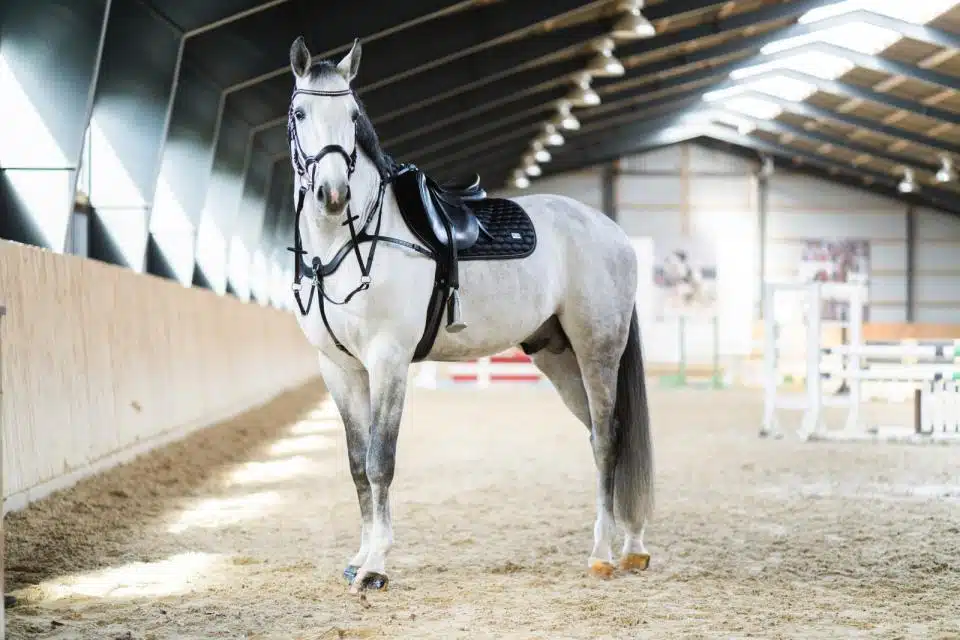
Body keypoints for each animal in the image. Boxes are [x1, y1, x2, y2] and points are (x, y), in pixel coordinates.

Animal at [284, 35, 654, 593]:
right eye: (300, 112)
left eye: (351, 116)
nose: (332, 194)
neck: (355, 240)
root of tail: (611, 230)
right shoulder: (340, 369)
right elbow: (355, 464)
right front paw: (360, 555)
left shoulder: (388, 360)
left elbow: (380, 461)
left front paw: (375, 566)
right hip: (558, 357)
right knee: (602, 435)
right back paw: (631, 546)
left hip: (597, 349)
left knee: (610, 438)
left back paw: (603, 554)